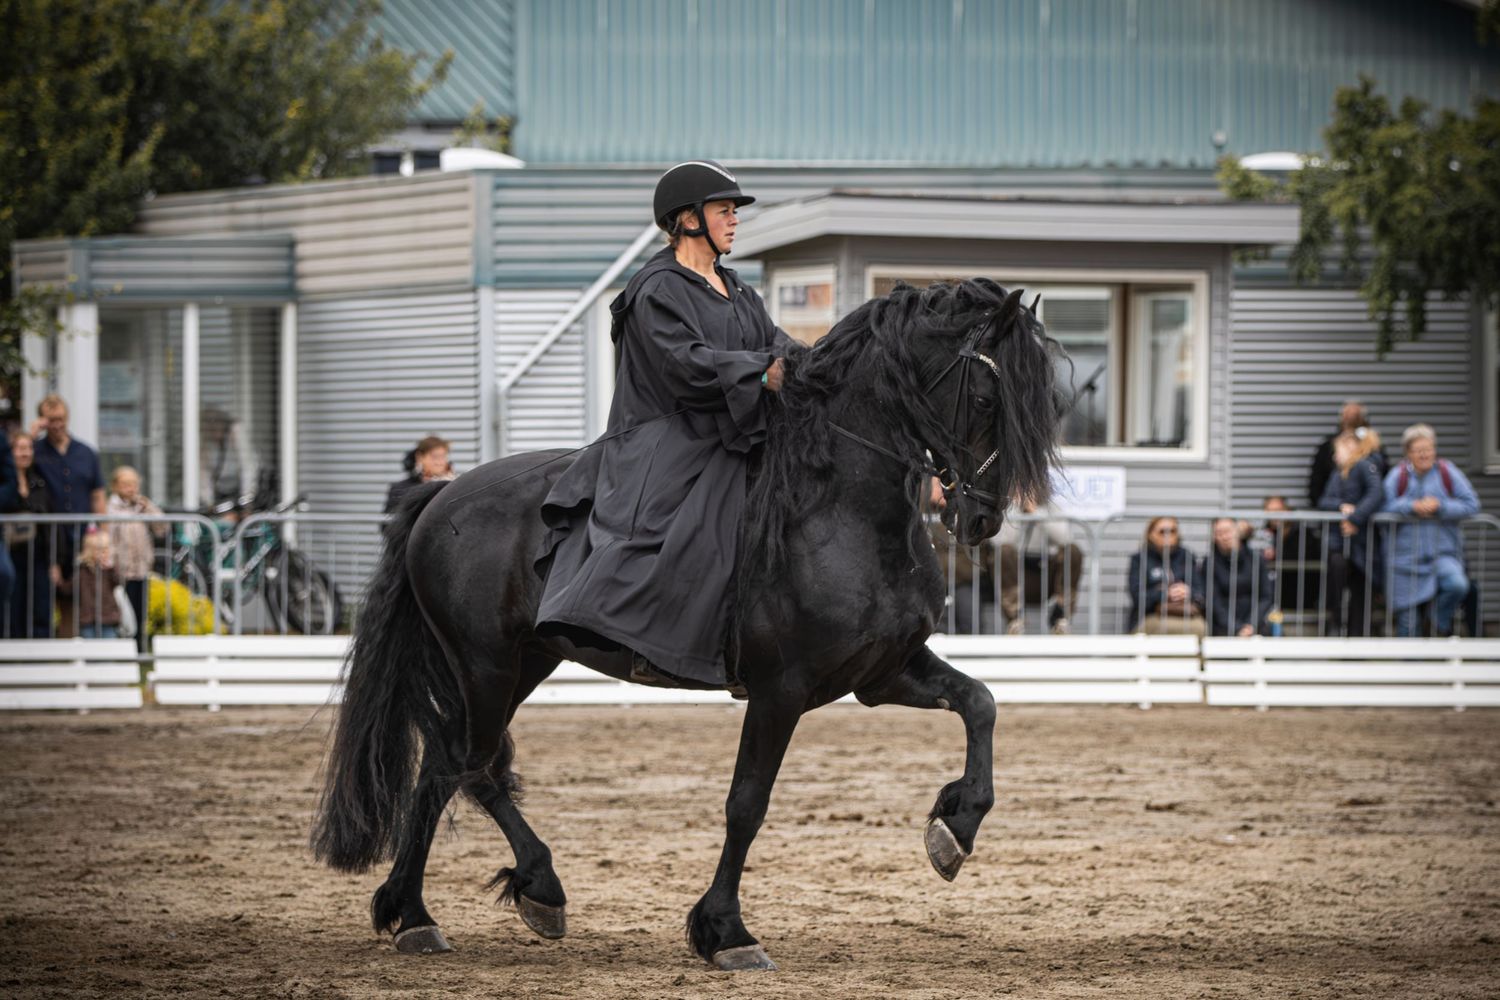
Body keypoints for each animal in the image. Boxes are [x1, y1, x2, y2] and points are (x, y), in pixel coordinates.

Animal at [311, 278, 1065, 971]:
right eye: (987, 398)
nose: (980, 519)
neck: (838, 503)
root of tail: (442, 496)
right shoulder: (781, 690)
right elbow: (747, 803)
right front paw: (726, 931)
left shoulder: (881, 674)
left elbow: (981, 704)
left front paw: (955, 828)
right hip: (485, 665)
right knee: (472, 764)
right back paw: (535, 887)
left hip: (523, 663)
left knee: (443, 766)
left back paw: (415, 914)